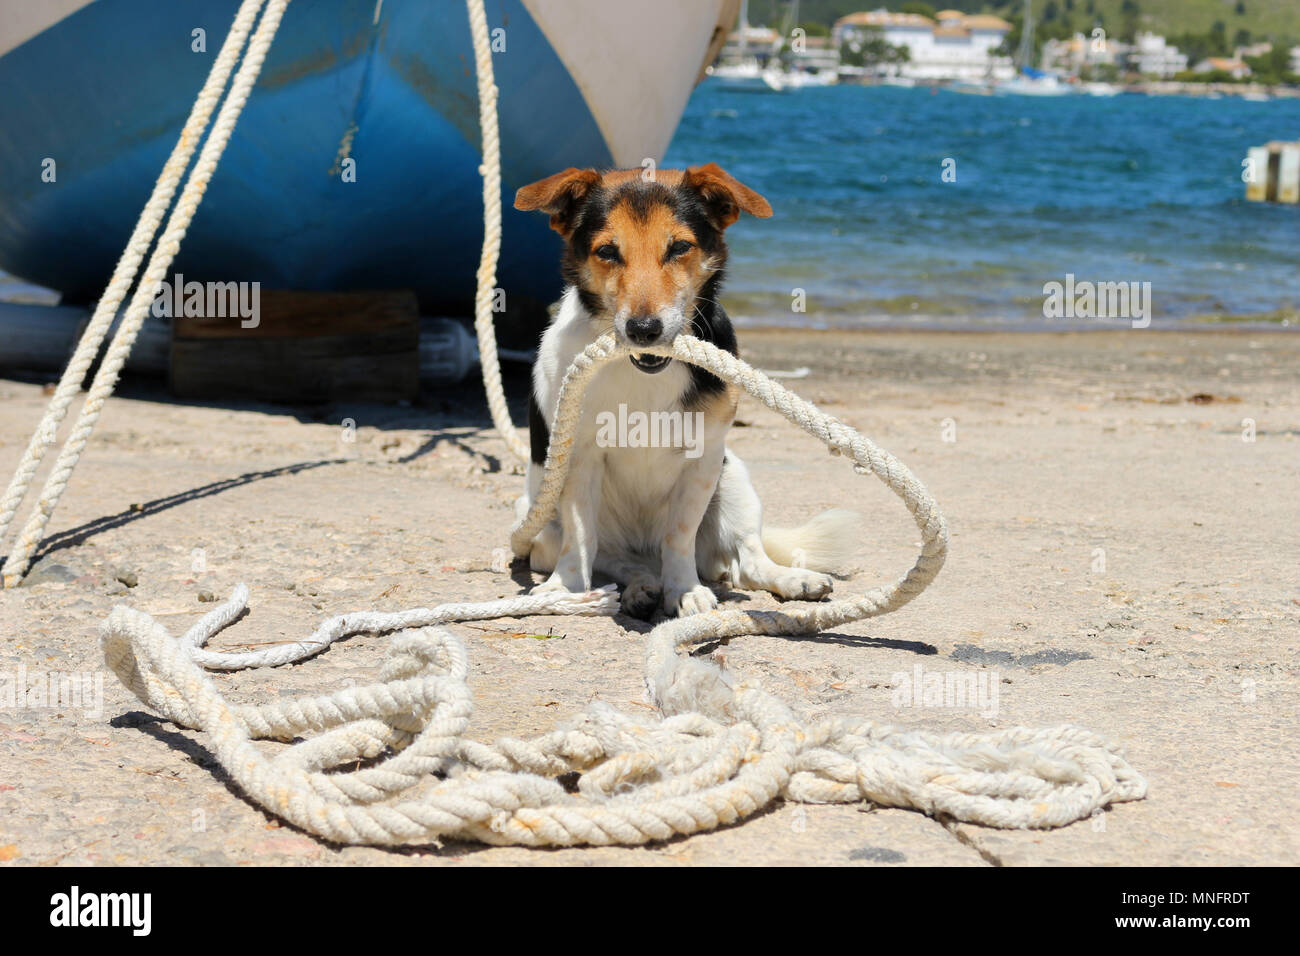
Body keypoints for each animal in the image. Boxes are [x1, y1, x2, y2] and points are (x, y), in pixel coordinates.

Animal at [512, 162, 857, 621]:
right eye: (607, 252)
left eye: (678, 248)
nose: (643, 330)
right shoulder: (578, 459)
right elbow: (580, 539)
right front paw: (564, 589)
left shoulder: (704, 459)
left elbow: (678, 537)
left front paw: (684, 590)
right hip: (539, 523)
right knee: (617, 559)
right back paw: (640, 587)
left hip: (735, 482)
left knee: (748, 561)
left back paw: (791, 578)